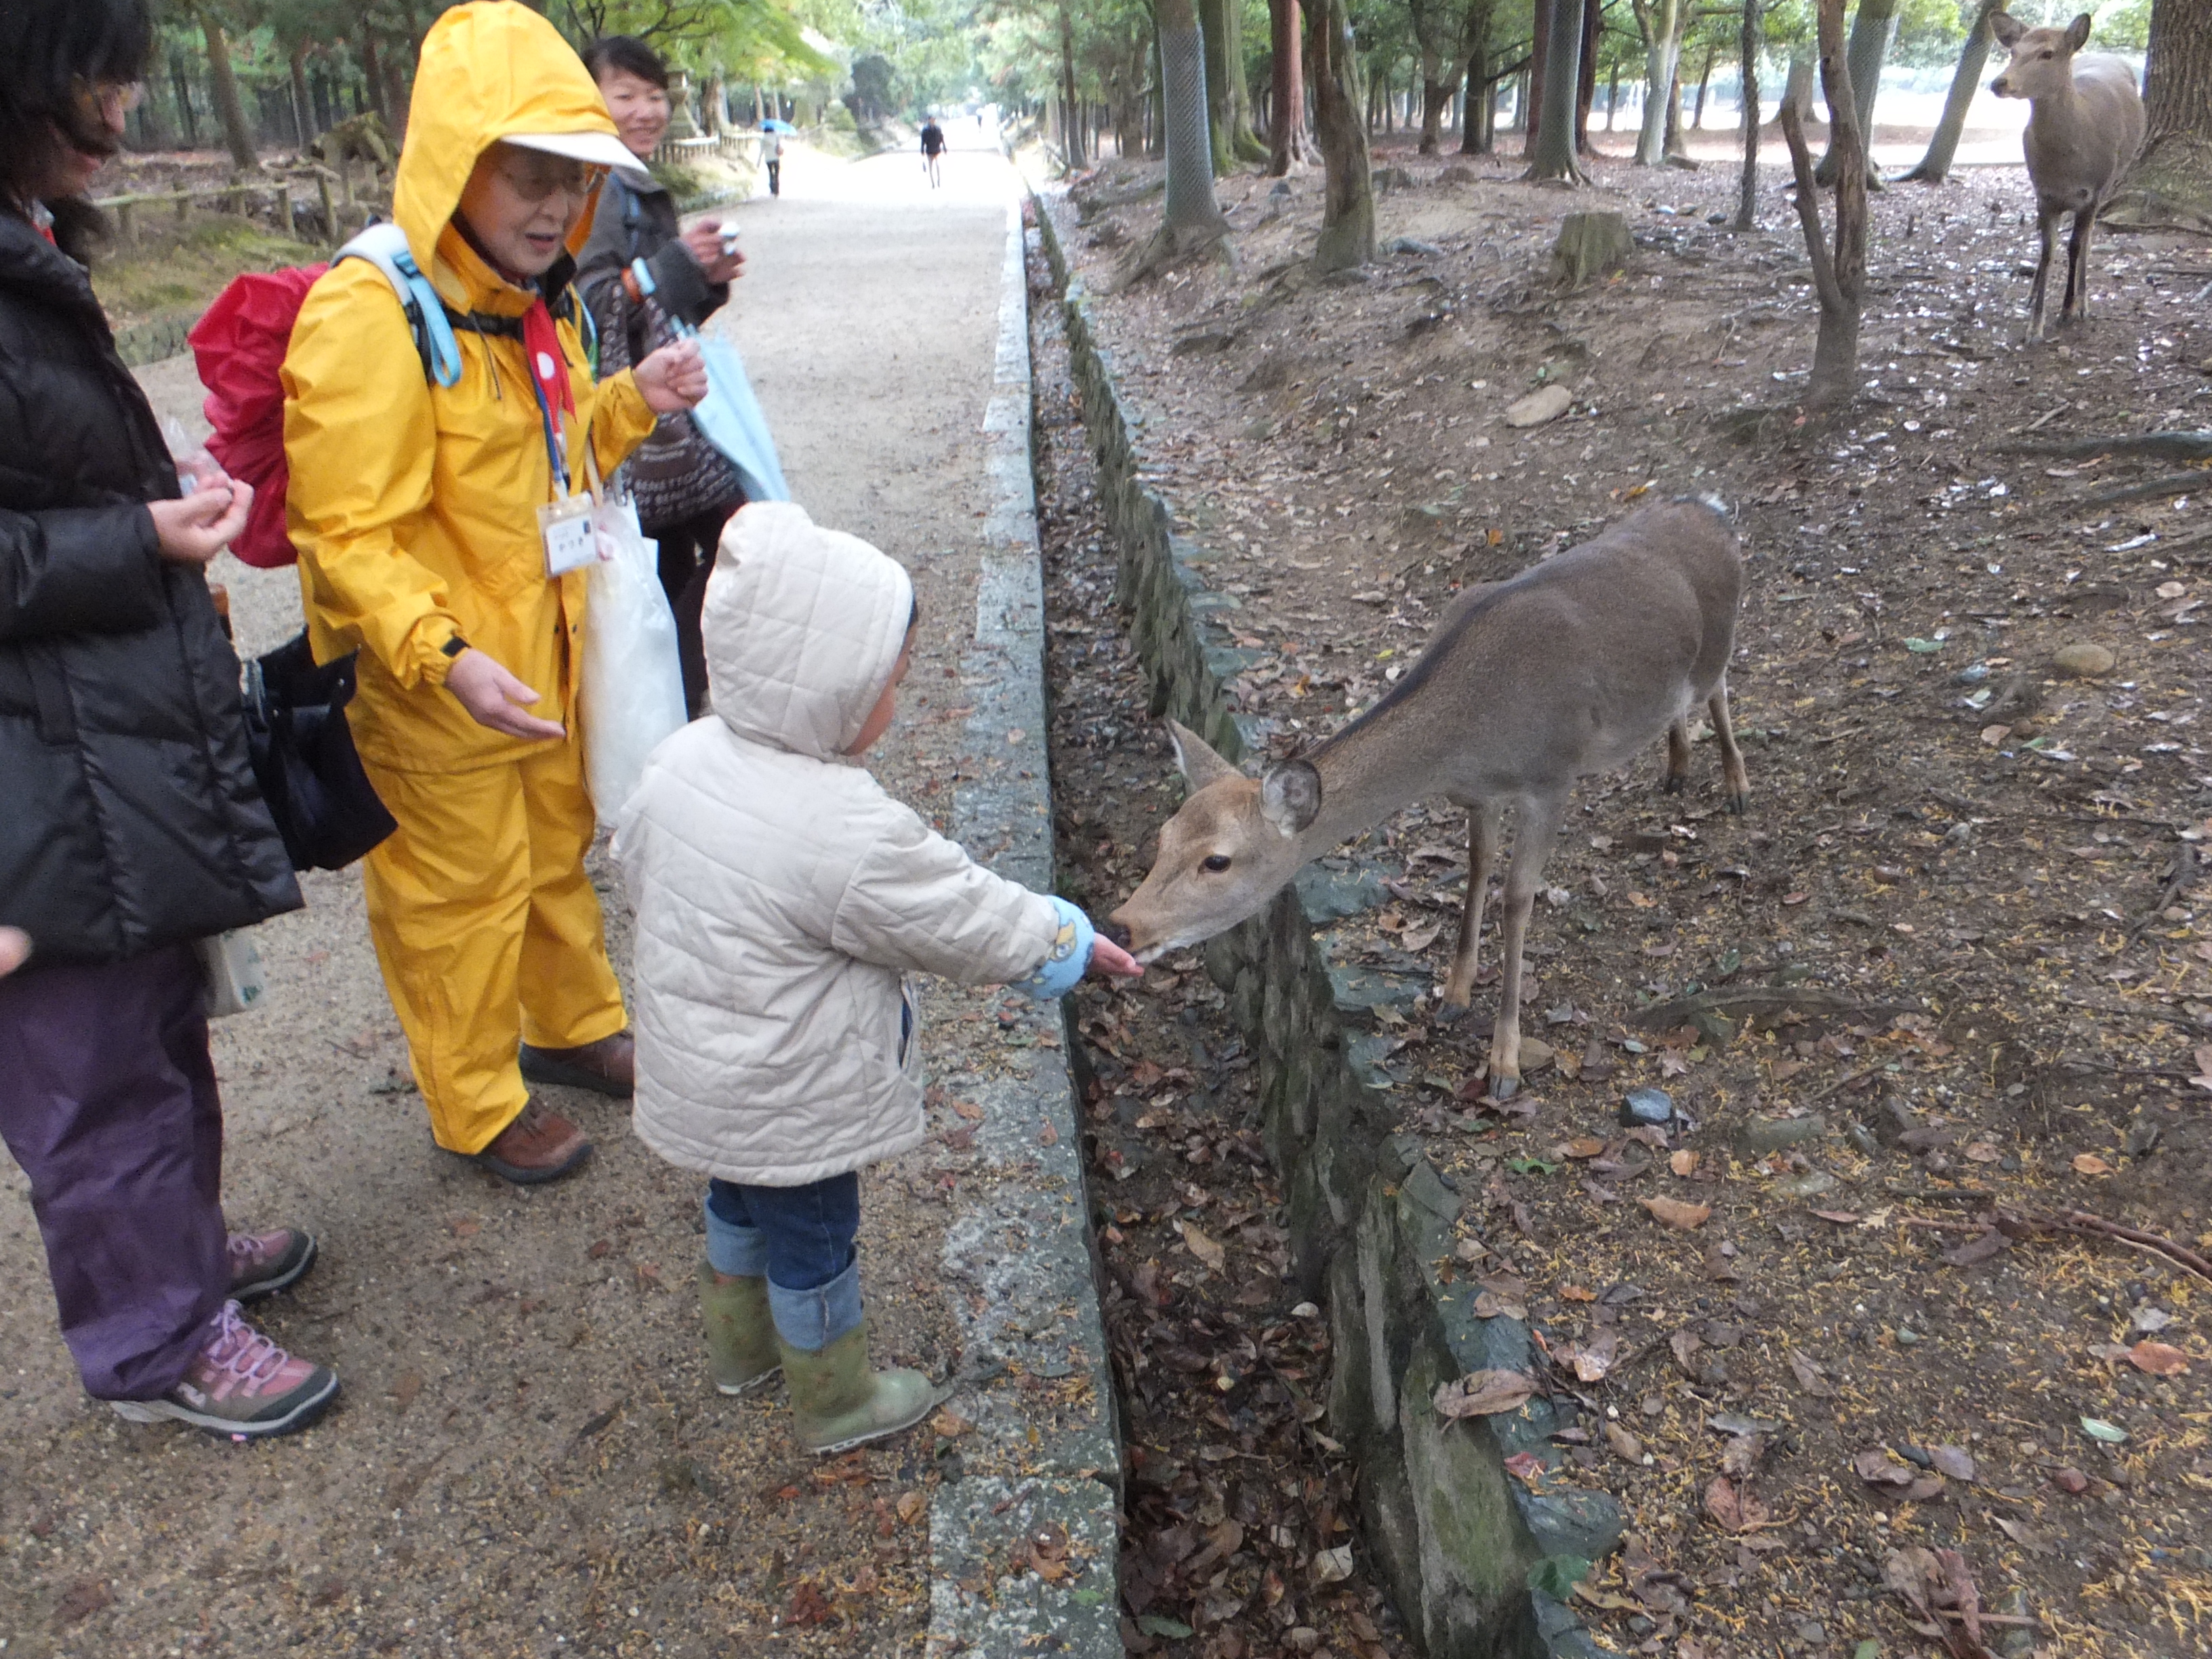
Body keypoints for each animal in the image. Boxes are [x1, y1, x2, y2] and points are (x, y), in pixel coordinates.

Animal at [1106, 499, 1743, 1110]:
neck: (1466, 741)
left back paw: (1736, 784)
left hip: (1719, 641)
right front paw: (1454, 996)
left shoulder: (1551, 777)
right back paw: (1678, 767)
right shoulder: (1481, 794)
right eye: (1164, 837)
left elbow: (1517, 899)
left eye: (1217, 861)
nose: (1121, 926)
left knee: (1719, 687)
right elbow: (1477, 868)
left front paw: (1503, 1065)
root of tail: (1713, 507)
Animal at [1990, 7, 2141, 347]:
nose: (1999, 83)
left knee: (2087, 239)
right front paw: (2034, 328)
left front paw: (2067, 310)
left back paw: (2083, 303)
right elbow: (2048, 252)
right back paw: (2033, 294)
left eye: (2048, 53)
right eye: (2013, 51)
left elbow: (2074, 246)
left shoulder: (2092, 191)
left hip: (2110, 180)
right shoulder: (2044, 194)